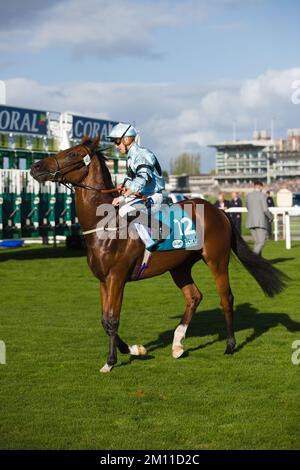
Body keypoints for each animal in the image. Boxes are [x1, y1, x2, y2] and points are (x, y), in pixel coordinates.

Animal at [30, 137, 288, 374]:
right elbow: (104, 320)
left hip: (216, 260)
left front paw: (110, 362)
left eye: (73, 154)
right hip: (180, 267)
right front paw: (135, 349)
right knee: (194, 297)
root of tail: (219, 210)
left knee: (226, 298)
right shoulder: (103, 280)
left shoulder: (117, 278)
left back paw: (230, 345)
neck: (105, 226)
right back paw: (177, 344)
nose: (36, 167)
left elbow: (113, 319)